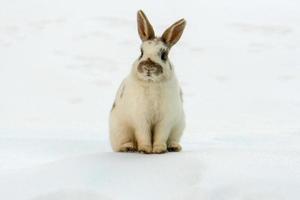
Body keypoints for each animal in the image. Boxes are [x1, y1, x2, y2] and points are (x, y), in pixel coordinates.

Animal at [109, 10, 186, 154]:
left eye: (164, 55)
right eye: (141, 52)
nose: (148, 67)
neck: (152, 83)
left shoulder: (166, 119)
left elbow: (161, 135)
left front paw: (159, 150)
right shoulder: (140, 118)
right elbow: (143, 134)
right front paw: (145, 149)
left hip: (179, 126)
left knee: (172, 139)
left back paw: (174, 147)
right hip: (119, 130)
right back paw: (128, 147)